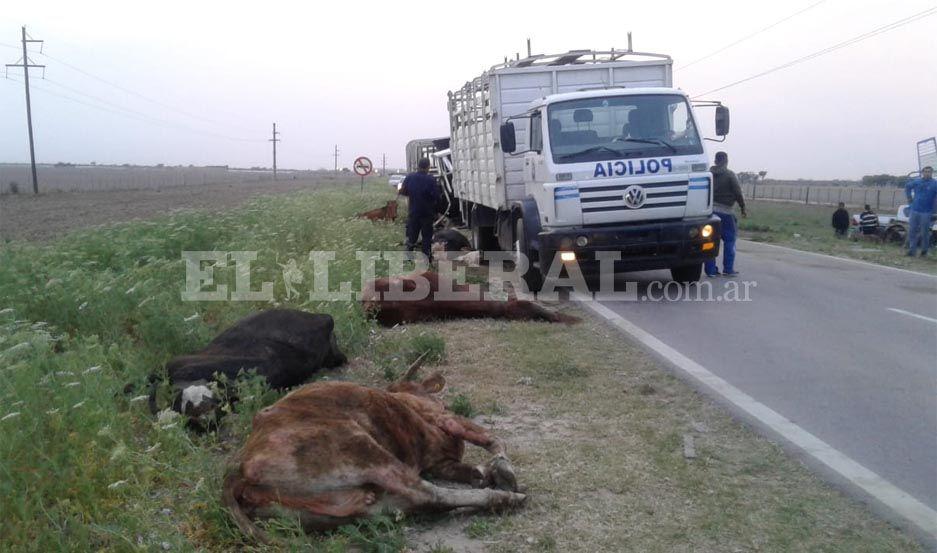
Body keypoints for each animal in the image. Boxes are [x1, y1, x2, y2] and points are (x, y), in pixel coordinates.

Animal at [223, 360, 524, 540]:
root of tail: (236, 472)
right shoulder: (443, 420)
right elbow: (492, 438)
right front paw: (502, 470)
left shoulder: (440, 459)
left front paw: (488, 472)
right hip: (361, 449)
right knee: (428, 494)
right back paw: (505, 498)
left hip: (336, 509)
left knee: (410, 504)